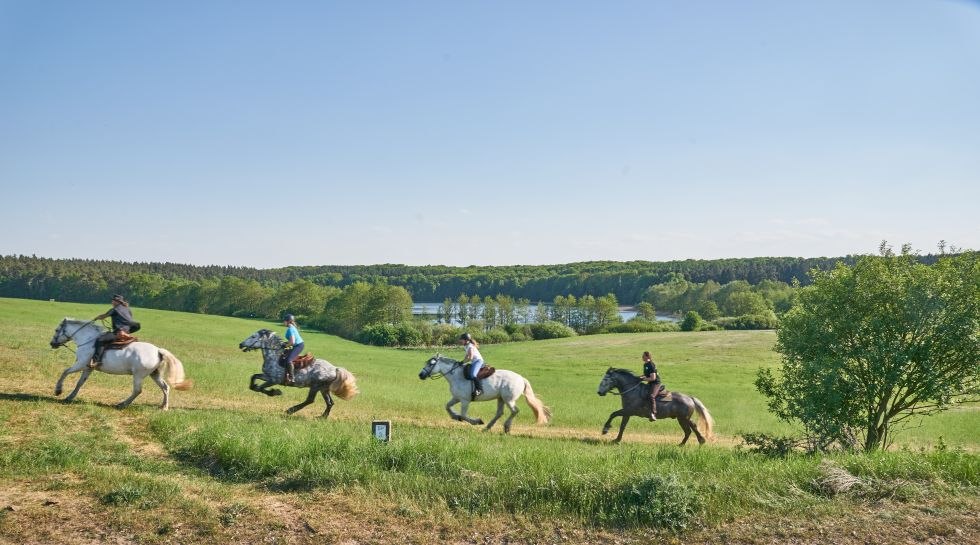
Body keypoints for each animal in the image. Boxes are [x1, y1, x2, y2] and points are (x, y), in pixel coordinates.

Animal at [49, 318, 193, 408]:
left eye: (56, 330)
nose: (52, 344)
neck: (88, 340)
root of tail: (158, 350)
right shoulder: (88, 368)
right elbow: (80, 382)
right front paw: (70, 397)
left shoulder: (81, 364)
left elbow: (65, 372)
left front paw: (58, 390)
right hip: (155, 374)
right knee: (165, 387)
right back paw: (164, 406)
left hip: (138, 375)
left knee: (137, 390)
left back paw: (122, 404)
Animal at [416, 352, 552, 434]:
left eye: (431, 363)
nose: (421, 375)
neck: (456, 375)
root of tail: (521, 379)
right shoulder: (456, 397)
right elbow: (448, 407)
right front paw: (455, 416)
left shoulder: (465, 400)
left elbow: (464, 415)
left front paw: (476, 421)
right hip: (501, 398)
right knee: (500, 413)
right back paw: (487, 428)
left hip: (509, 399)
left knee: (515, 411)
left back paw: (506, 428)